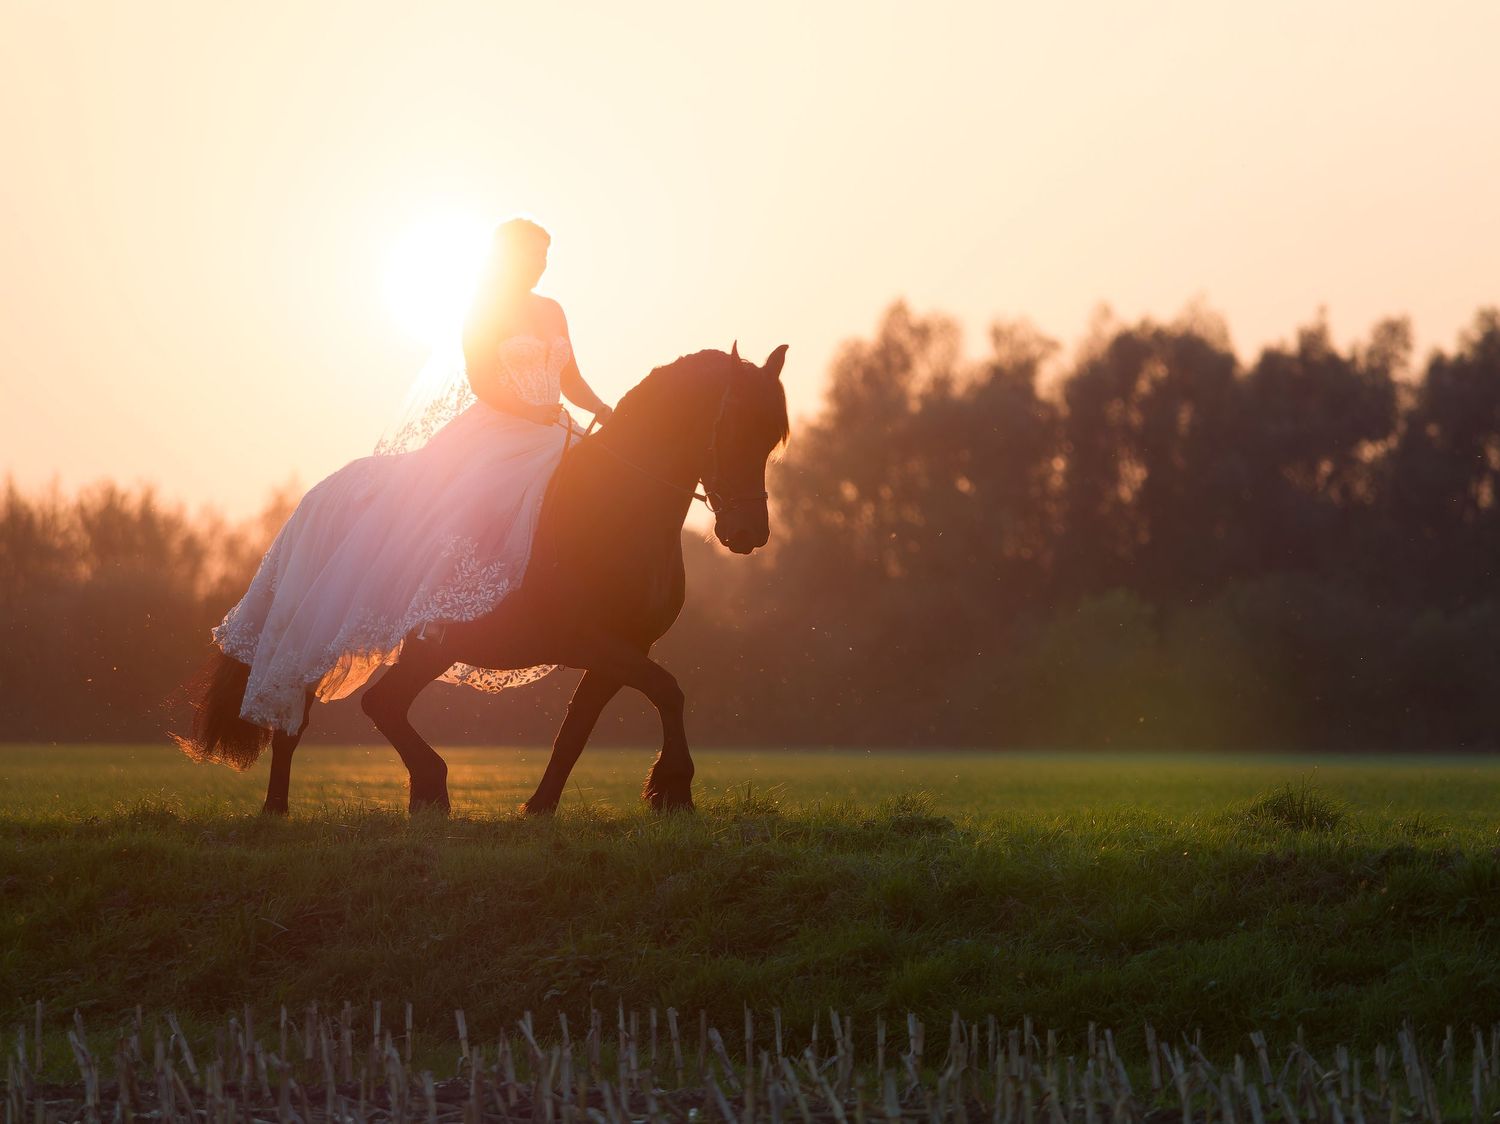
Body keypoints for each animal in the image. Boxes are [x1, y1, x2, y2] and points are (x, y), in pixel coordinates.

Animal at [173, 342, 790, 815]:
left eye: (771, 437)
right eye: (732, 426)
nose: (748, 533)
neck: (614, 506)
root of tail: (314, 500)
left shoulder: (624, 647)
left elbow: (579, 728)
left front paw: (540, 808)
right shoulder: (592, 640)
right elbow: (668, 690)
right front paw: (673, 789)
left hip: (430, 647)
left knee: (379, 705)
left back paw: (425, 793)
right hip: (329, 638)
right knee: (302, 713)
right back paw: (291, 809)